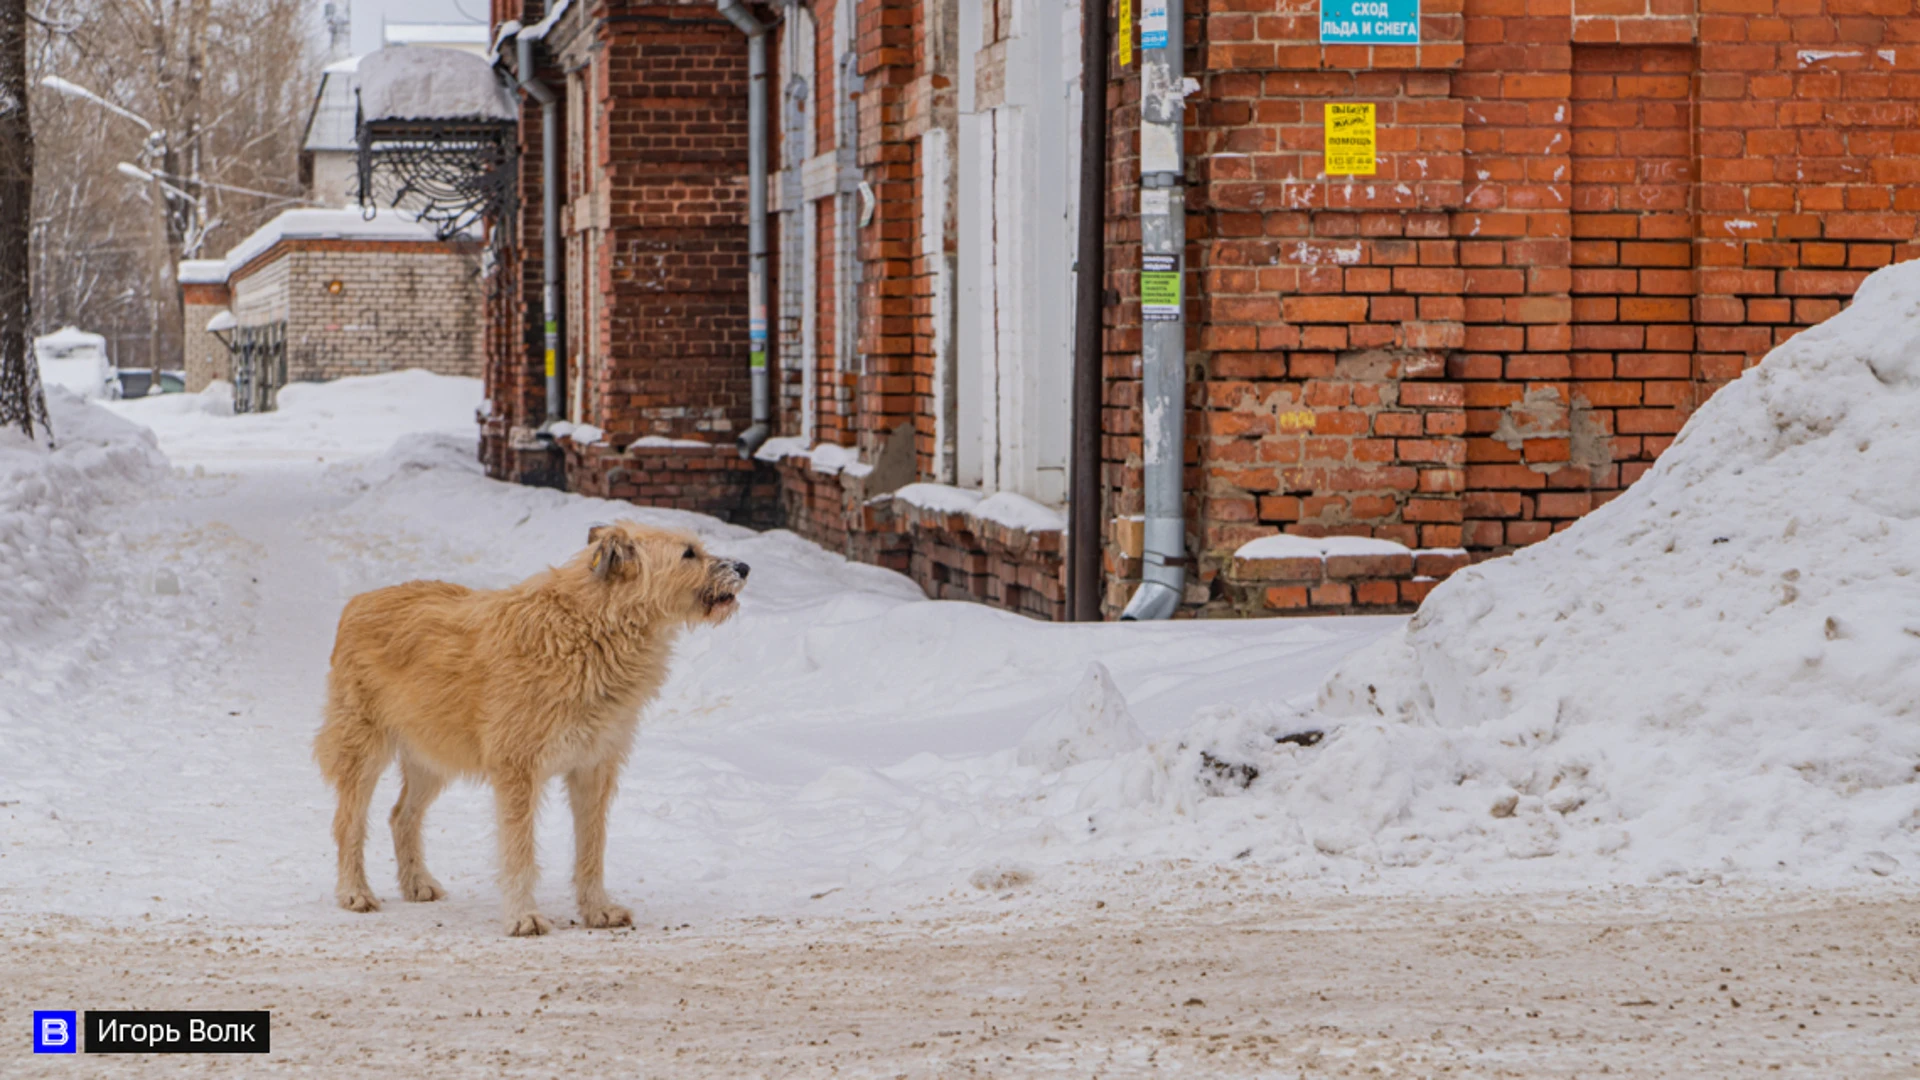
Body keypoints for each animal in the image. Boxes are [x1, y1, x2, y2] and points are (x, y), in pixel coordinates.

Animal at [314, 518, 741, 930]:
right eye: (689, 553)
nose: (745, 568)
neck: (590, 628)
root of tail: (359, 601)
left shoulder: (594, 769)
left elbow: (592, 847)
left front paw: (597, 910)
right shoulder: (516, 770)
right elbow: (519, 852)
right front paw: (522, 917)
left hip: (433, 758)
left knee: (401, 815)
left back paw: (416, 883)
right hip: (364, 751)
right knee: (348, 822)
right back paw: (354, 892)